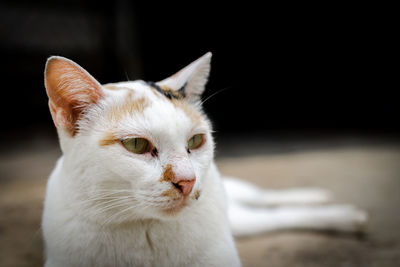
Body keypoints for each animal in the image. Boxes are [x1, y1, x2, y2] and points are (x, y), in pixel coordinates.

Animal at [42, 52, 368, 267]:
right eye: (136, 145)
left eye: (195, 141)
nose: (187, 181)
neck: (145, 231)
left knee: (269, 205)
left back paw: (333, 207)